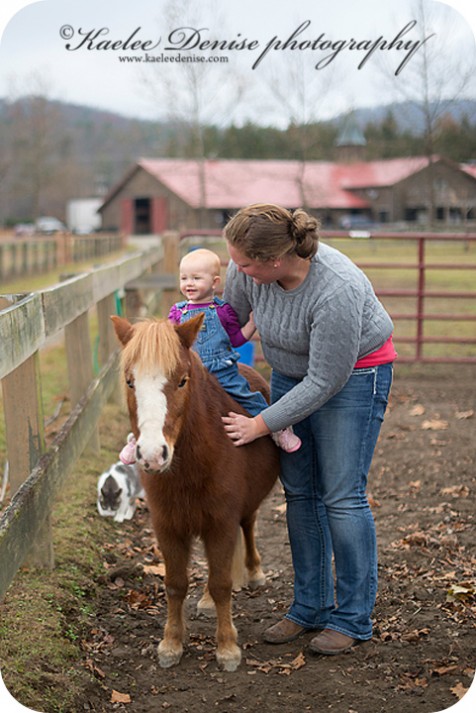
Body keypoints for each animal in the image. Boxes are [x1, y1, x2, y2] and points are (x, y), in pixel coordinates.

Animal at [111, 314, 278, 672]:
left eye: (182, 381)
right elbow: (175, 585)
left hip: (242, 512)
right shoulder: (168, 527)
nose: (152, 454)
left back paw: (254, 572)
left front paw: (227, 648)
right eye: (130, 382)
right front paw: (171, 644)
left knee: (248, 526)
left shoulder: (221, 524)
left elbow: (222, 583)